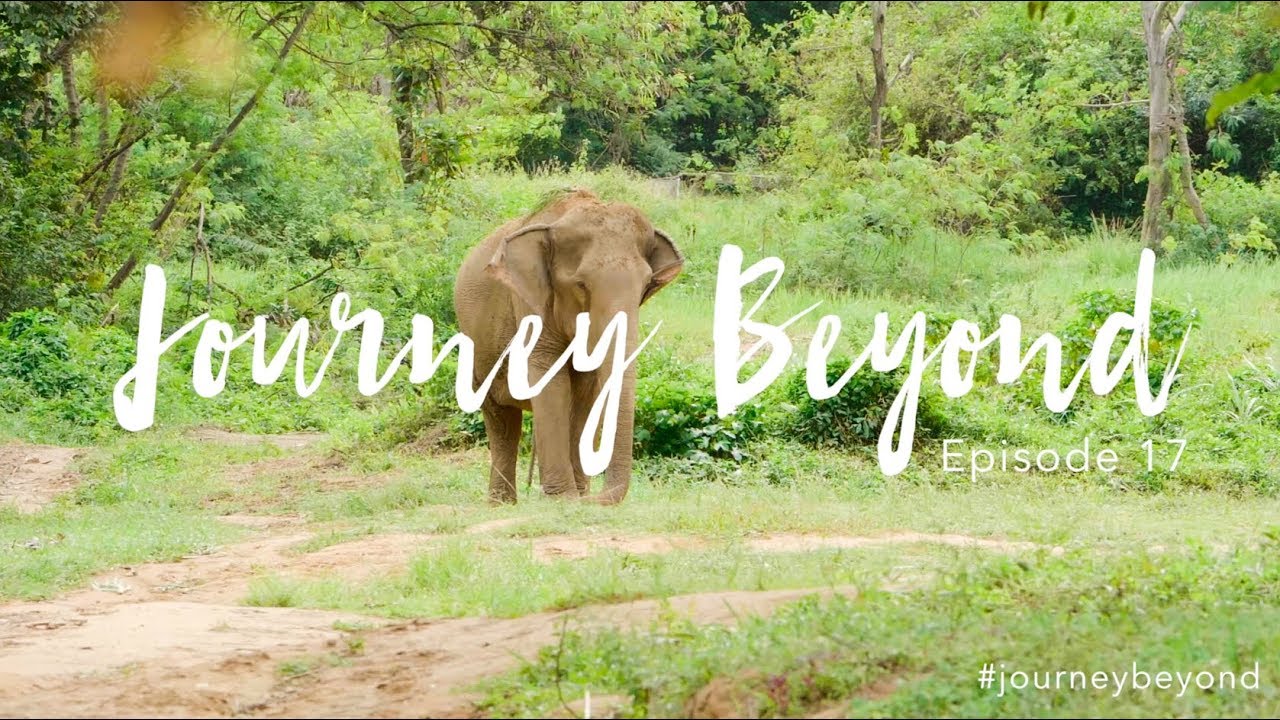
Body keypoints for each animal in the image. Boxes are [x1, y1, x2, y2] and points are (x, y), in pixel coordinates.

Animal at [453, 189, 683, 505]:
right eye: (581, 285)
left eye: (646, 285)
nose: (592, 497)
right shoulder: (528, 299)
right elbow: (550, 378)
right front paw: (564, 498)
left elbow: (587, 390)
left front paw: (576, 495)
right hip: (477, 346)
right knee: (502, 421)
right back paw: (501, 504)